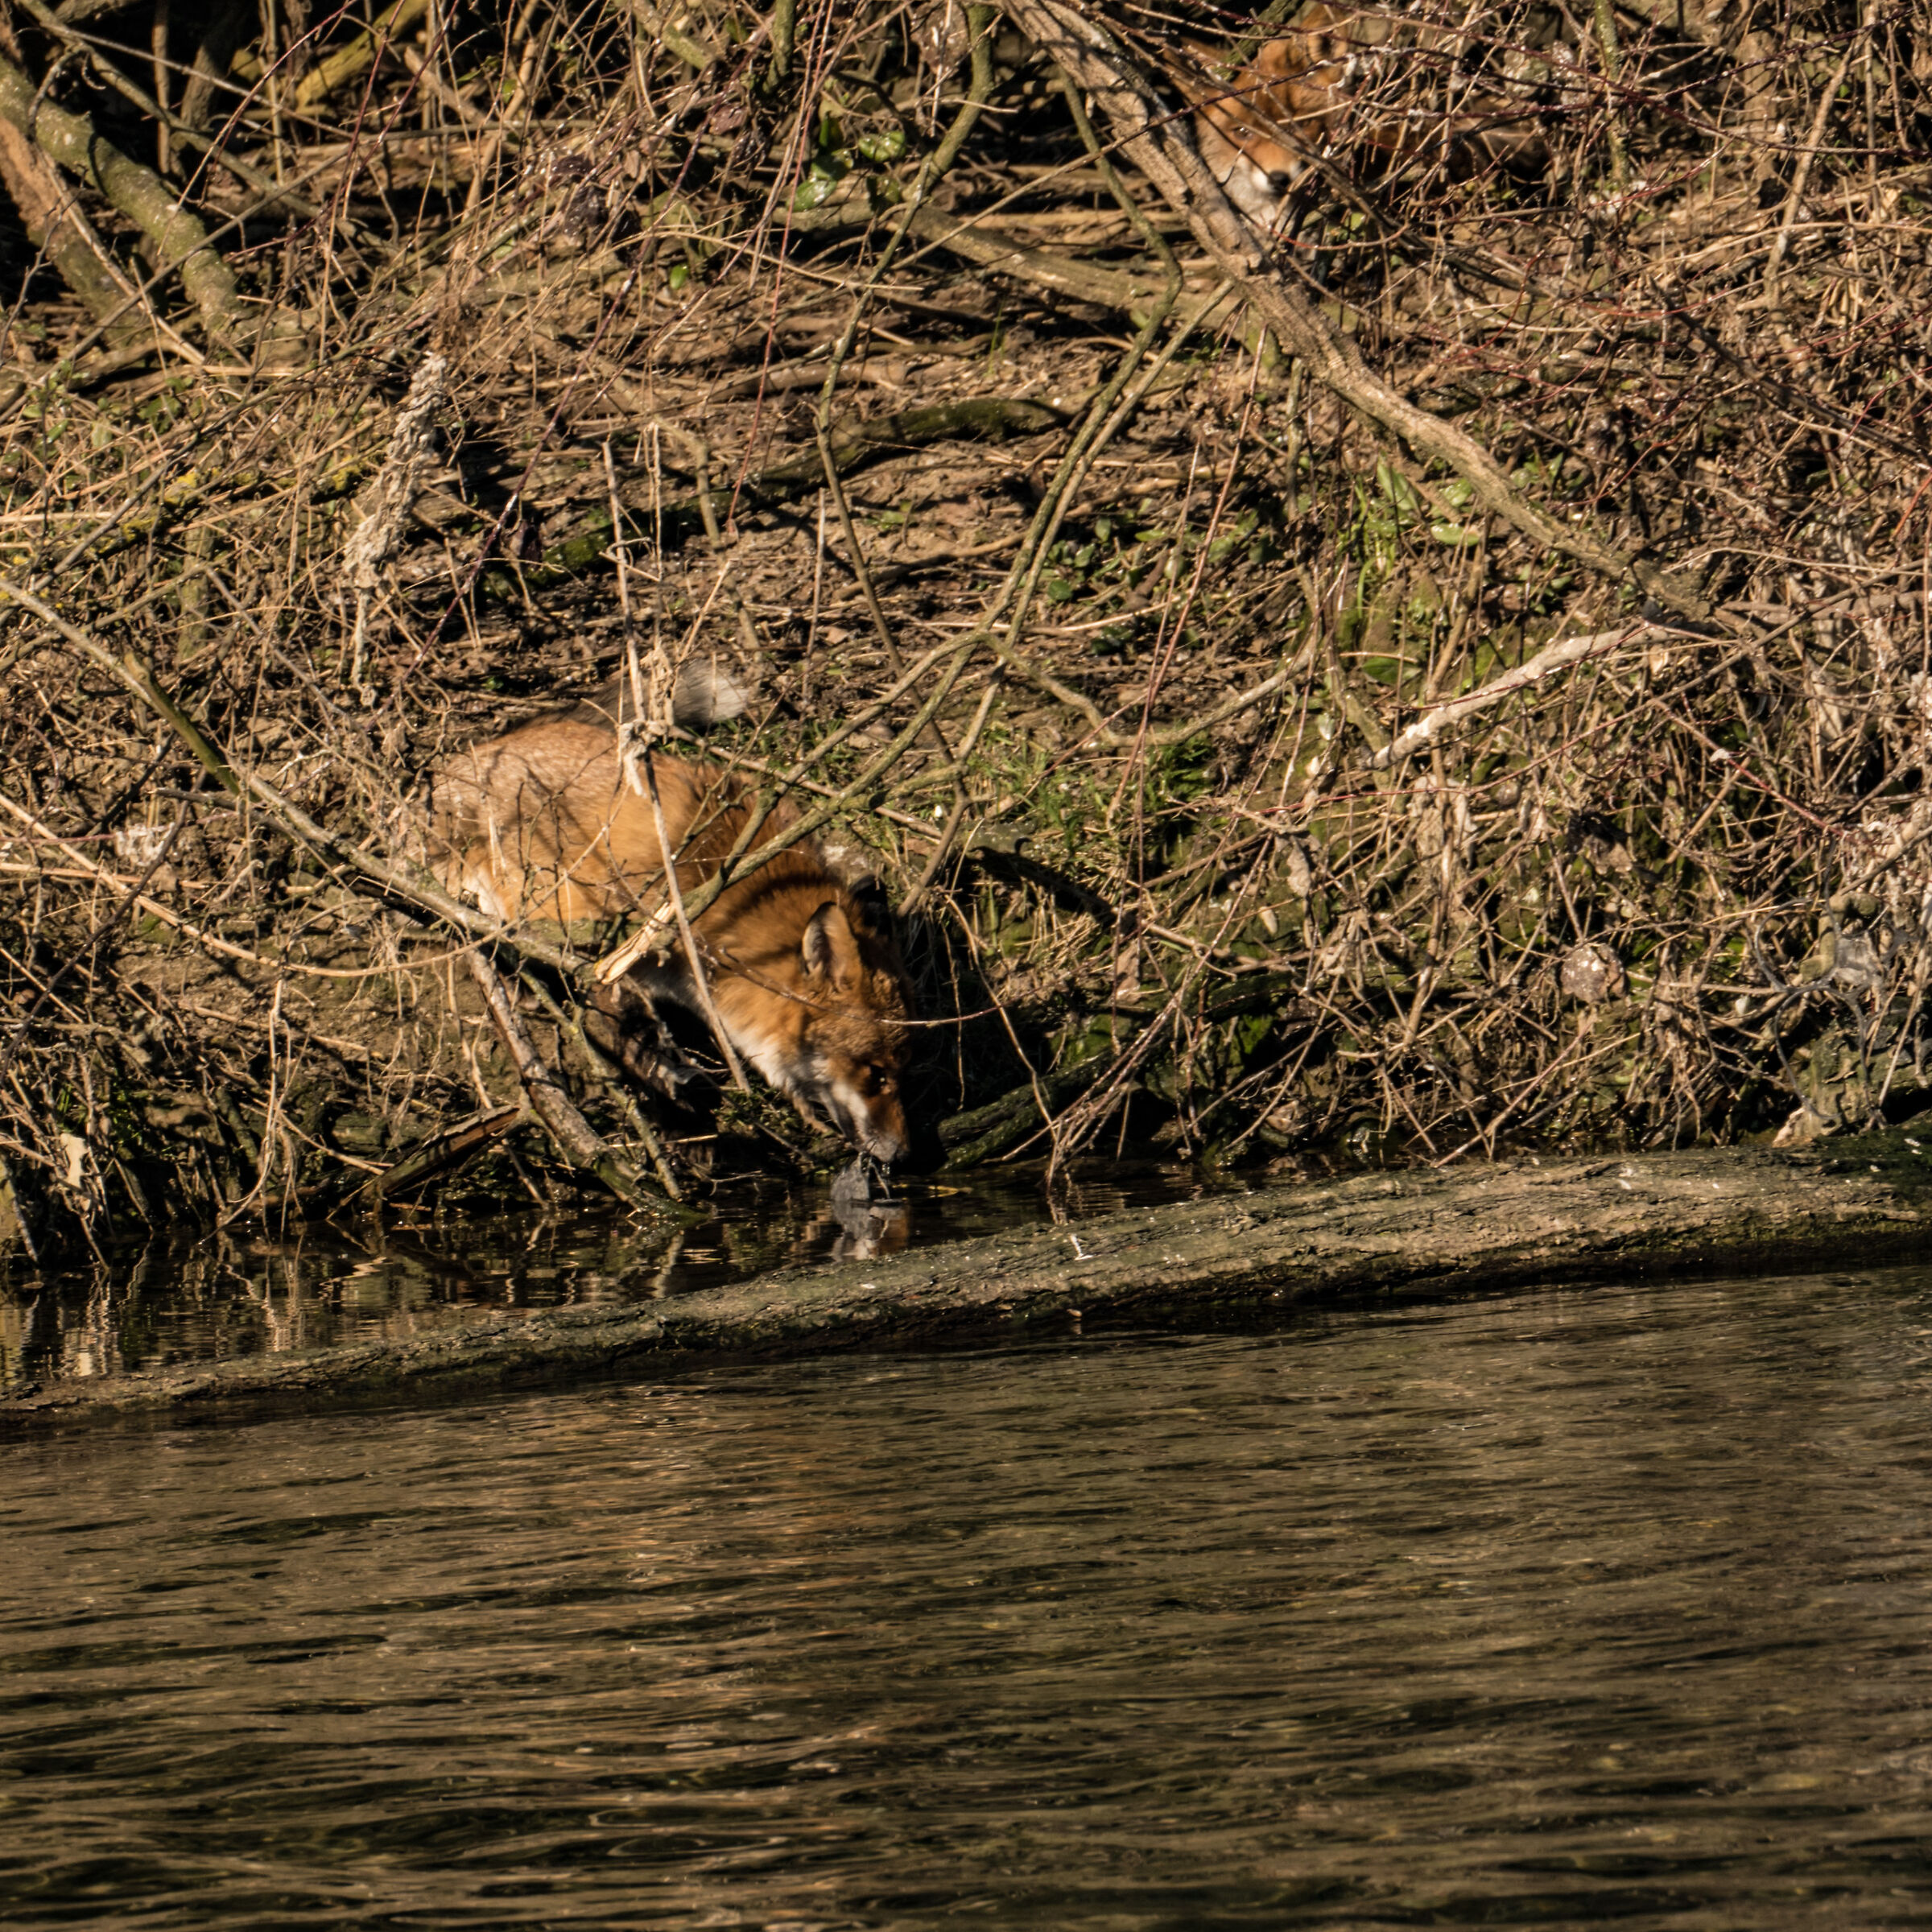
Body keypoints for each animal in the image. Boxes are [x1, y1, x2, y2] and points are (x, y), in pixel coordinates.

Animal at [428, 684, 914, 1165]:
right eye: (876, 1074)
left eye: (900, 1069)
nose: (905, 1154)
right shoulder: (603, 950)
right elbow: (630, 1037)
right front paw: (682, 1114)